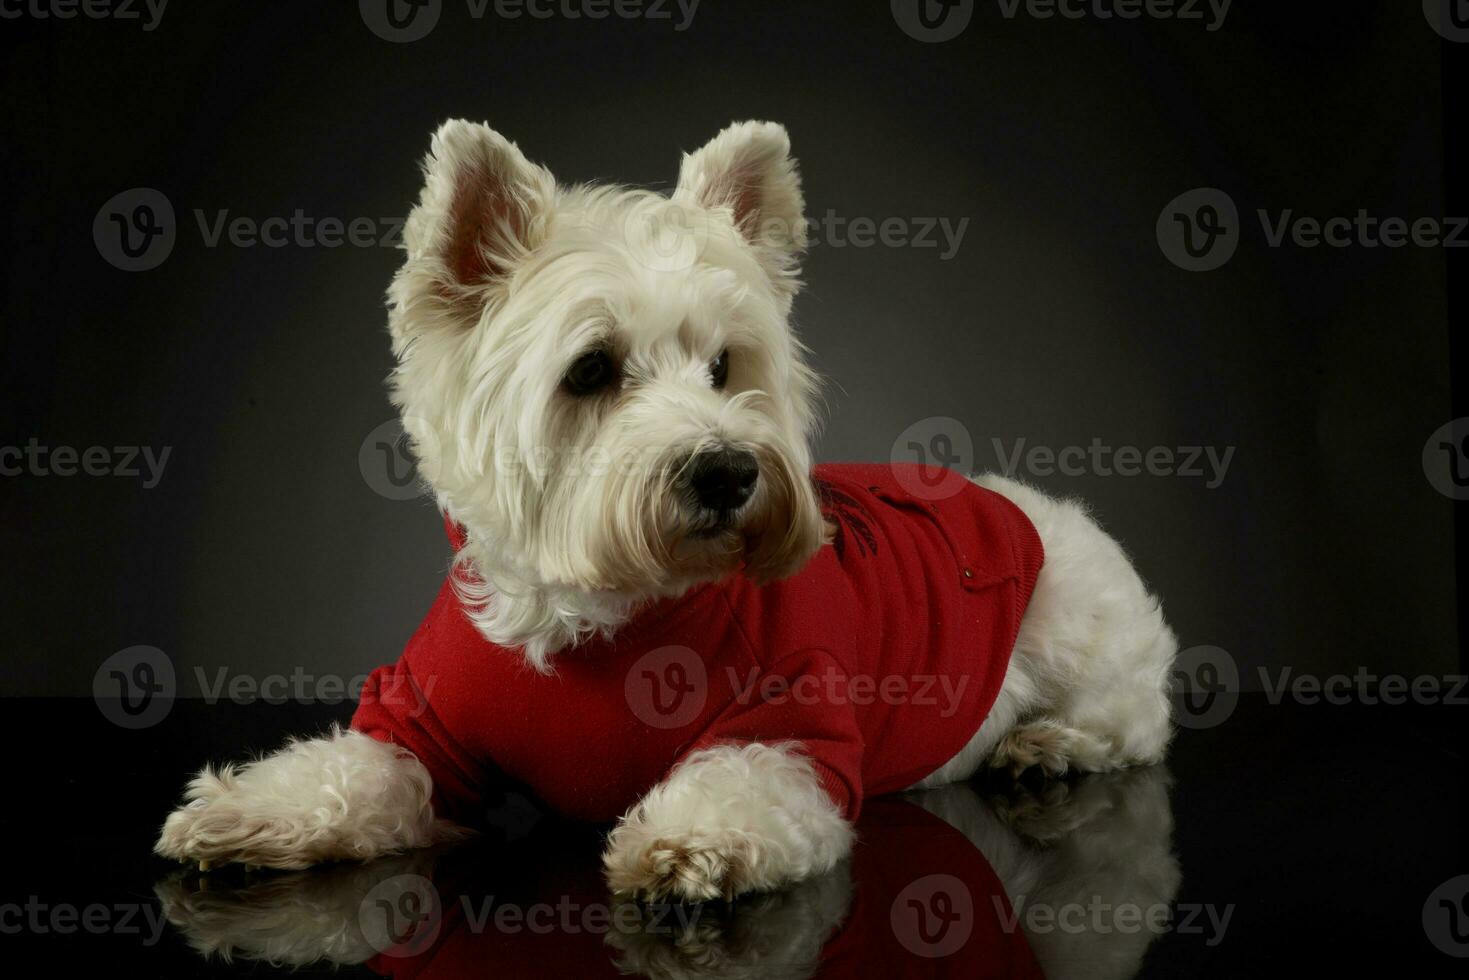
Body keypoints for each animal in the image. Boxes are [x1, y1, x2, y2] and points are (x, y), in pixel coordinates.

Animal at [154, 120, 1175, 905]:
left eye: (725, 366)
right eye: (591, 370)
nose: (726, 472)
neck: (590, 621)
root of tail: (1019, 502)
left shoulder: (792, 716)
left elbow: (739, 782)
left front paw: (689, 844)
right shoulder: (420, 723)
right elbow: (343, 772)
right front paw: (248, 810)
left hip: (1078, 628)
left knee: (1135, 717)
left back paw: (1048, 743)